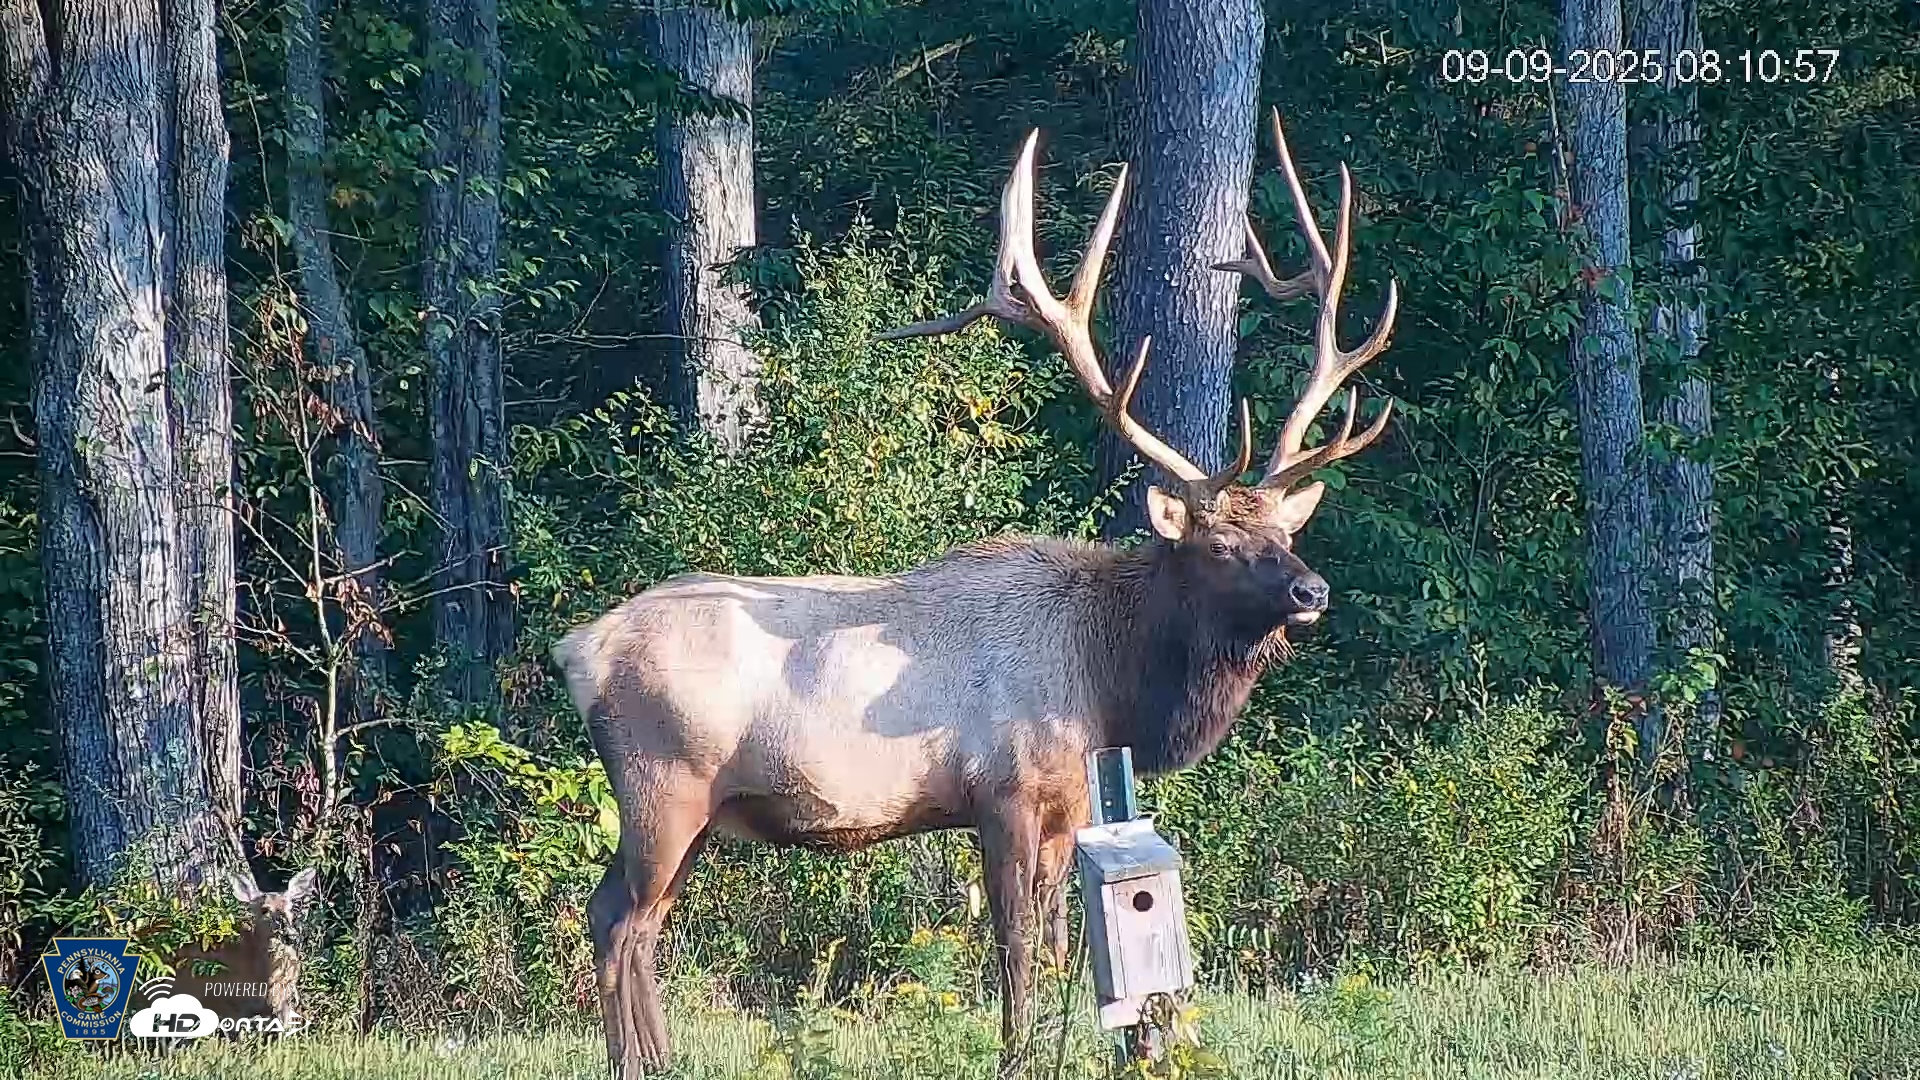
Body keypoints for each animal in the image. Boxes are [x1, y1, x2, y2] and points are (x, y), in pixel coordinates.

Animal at [551, 108, 1398, 1077]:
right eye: (1221, 543)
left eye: (1287, 534)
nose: (1312, 589)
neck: (1109, 687)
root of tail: (575, 652)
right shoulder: (1003, 792)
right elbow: (1016, 940)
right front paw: (1016, 1053)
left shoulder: (1071, 806)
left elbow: (1068, 942)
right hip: (662, 783)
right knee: (616, 919)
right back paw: (635, 1061)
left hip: (692, 810)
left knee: (636, 922)